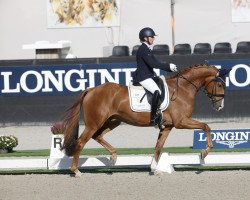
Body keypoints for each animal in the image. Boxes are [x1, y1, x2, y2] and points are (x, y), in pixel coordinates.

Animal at [61, 63, 229, 177]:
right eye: (220, 84)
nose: (220, 106)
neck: (182, 88)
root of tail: (91, 90)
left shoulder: (168, 126)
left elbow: (158, 147)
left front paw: (154, 168)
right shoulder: (181, 121)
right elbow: (206, 126)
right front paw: (204, 153)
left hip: (113, 121)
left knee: (98, 136)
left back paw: (113, 157)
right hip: (94, 123)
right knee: (81, 142)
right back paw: (76, 171)